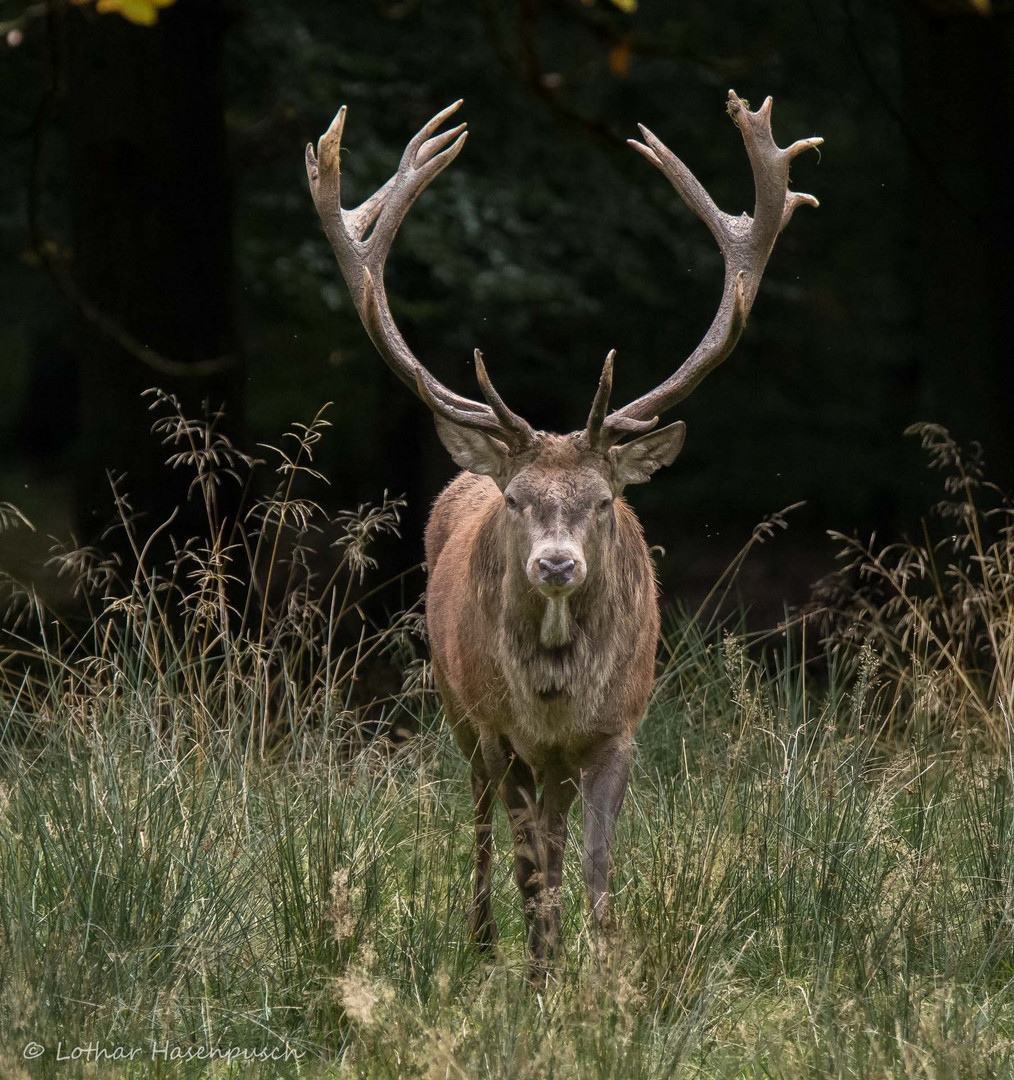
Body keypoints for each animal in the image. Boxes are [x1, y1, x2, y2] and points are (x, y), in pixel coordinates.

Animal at [304, 90, 820, 972]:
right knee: (488, 828)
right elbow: (529, 861)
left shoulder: (619, 728)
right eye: (517, 500)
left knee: (544, 831)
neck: (552, 695)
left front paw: (603, 969)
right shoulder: (503, 729)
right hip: (457, 709)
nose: (554, 565)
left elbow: (594, 861)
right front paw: (540, 972)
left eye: (604, 500)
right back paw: (484, 943)